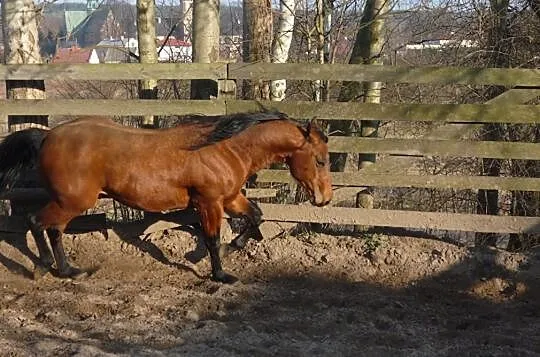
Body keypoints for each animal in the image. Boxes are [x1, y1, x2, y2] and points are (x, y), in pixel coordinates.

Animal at [0, 112, 332, 282]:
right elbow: (211, 238)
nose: (325, 199)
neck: (225, 148)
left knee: (53, 229)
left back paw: (69, 270)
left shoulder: (229, 197)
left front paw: (231, 248)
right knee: (36, 221)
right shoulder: (209, 202)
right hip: (73, 201)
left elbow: (256, 216)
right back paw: (45, 267)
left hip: (68, 202)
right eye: (320, 160)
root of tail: (47, 136)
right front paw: (220, 274)